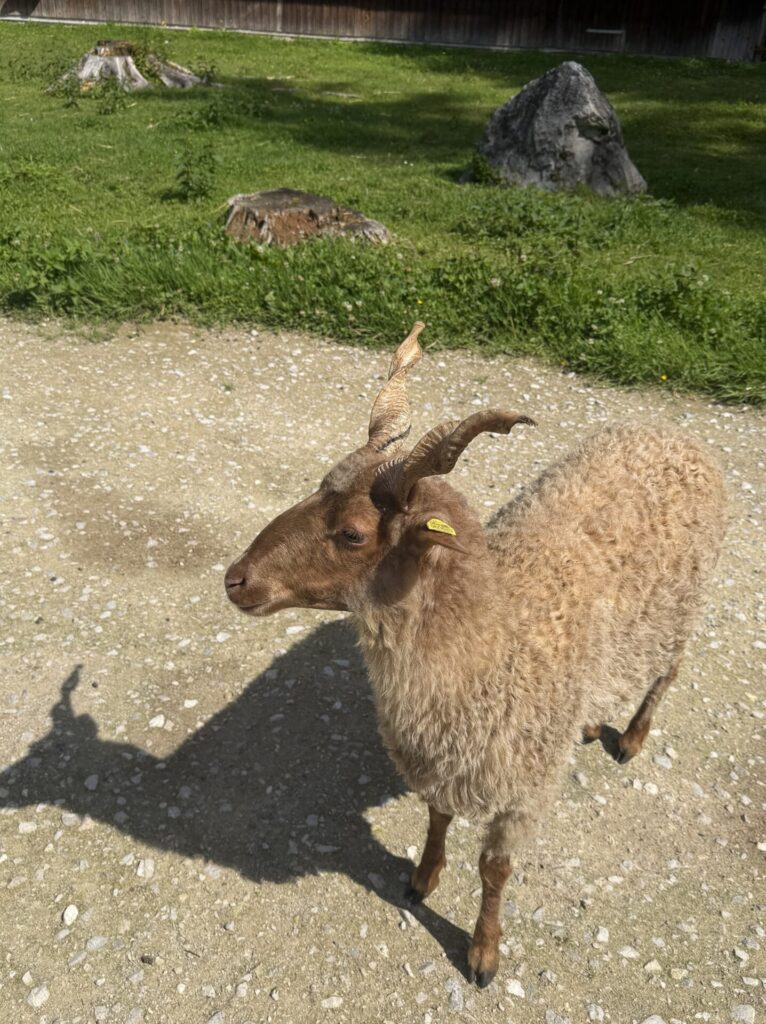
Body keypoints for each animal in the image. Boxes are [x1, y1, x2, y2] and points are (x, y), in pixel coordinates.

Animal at [225, 323, 727, 987]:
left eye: (353, 533)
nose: (236, 579)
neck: (496, 633)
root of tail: (674, 435)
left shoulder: (521, 790)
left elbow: (495, 870)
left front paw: (484, 953)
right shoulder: (442, 759)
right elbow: (437, 818)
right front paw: (422, 879)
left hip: (680, 610)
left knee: (667, 673)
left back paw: (632, 739)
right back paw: (591, 723)